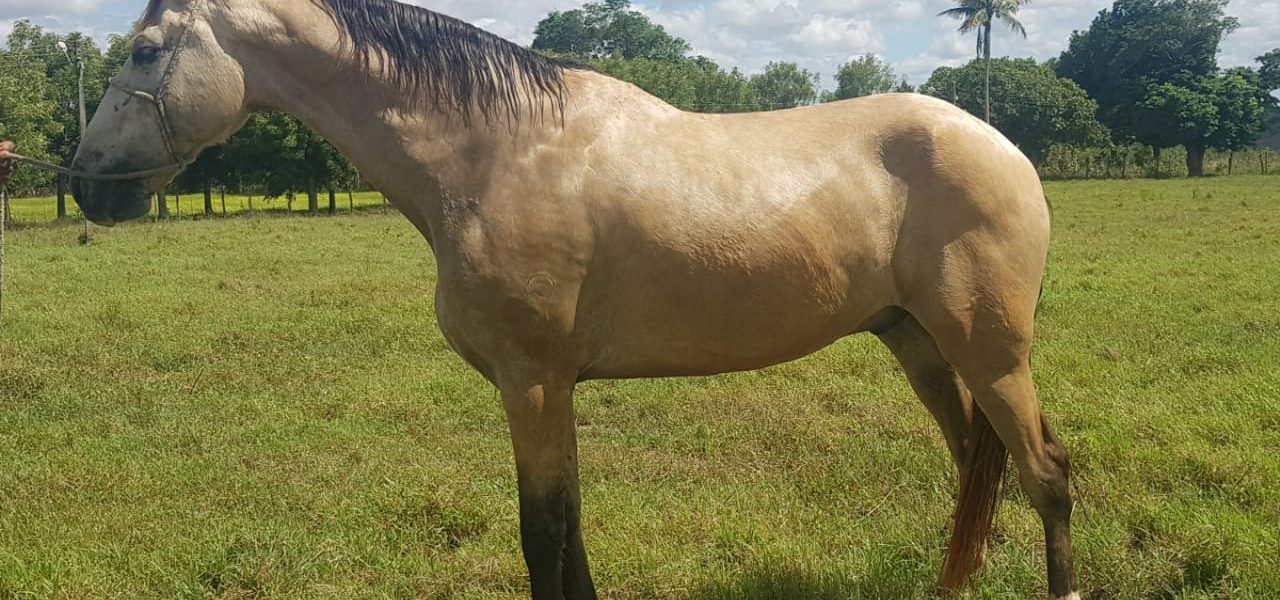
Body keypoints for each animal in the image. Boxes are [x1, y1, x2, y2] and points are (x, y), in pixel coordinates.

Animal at [70, 1, 1079, 598]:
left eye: (145, 50)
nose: (84, 184)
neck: (499, 152)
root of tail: (1002, 145)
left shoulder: (533, 382)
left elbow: (543, 534)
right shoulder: (550, 391)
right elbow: (570, 530)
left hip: (990, 352)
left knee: (1044, 475)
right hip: (919, 344)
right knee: (976, 471)